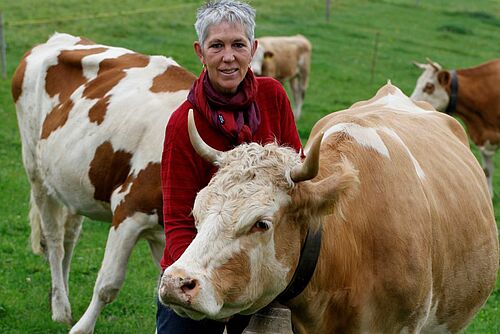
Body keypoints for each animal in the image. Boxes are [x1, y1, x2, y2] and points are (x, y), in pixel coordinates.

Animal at [10, 32, 196, 334]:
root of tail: (53, 39)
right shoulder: (130, 210)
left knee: (69, 238)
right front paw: (81, 328)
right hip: (36, 172)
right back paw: (60, 309)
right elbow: (108, 284)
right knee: (54, 240)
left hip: (73, 183)